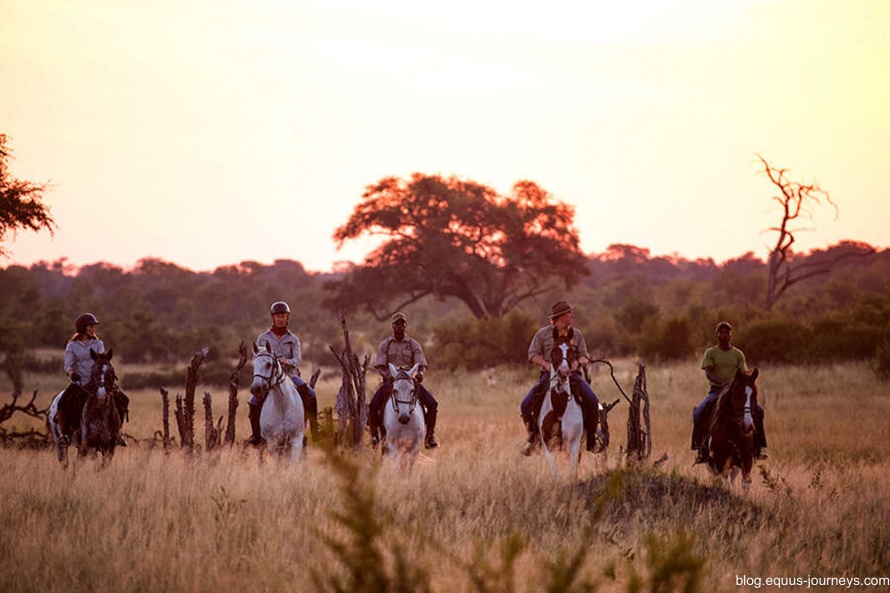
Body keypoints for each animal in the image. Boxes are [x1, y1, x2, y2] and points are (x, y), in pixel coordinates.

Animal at [536, 326, 588, 478]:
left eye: (572, 351)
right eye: (554, 351)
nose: (563, 372)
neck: (559, 405)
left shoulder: (574, 444)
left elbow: (572, 471)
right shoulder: (548, 445)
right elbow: (555, 474)